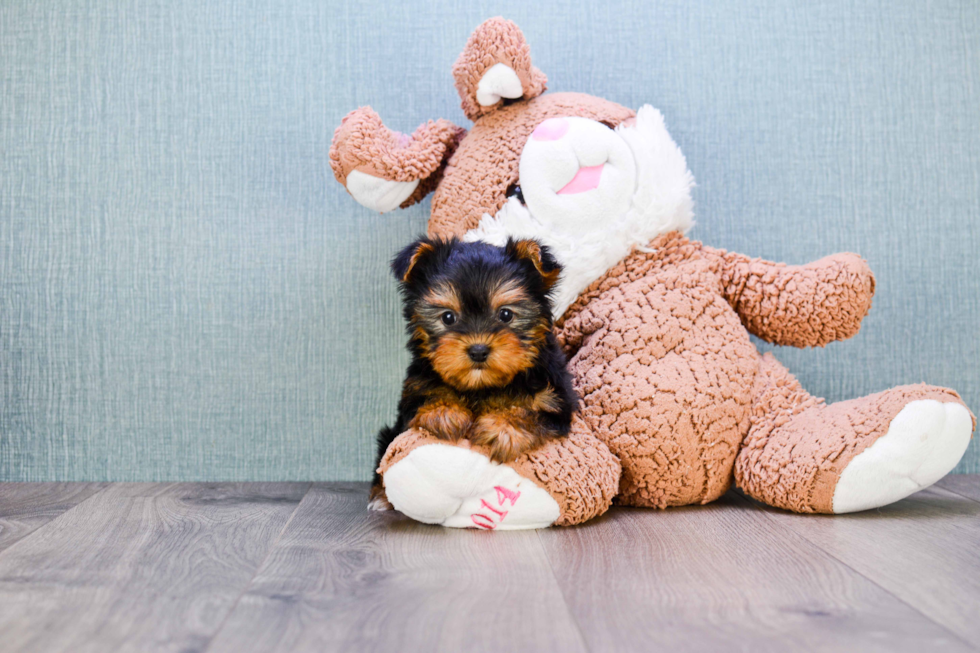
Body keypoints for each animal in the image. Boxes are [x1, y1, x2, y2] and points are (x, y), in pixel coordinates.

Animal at [372, 237, 580, 506]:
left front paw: (502, 427)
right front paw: (444, 411)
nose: (478, 350)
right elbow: (426, 399)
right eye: (448, 317)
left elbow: (532, 413)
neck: (482, 386)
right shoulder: (414, 392)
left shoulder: (555, 400)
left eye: (505, 314)